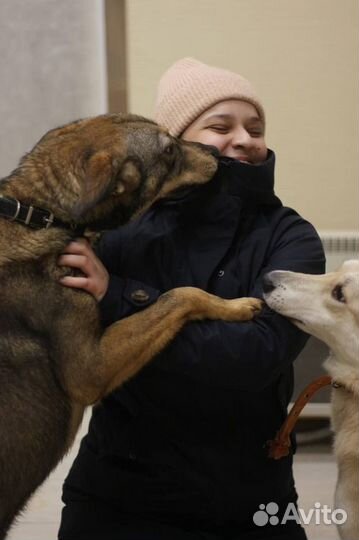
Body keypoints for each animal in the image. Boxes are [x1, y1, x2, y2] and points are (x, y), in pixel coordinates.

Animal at [0, 113, 262, 536]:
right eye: (169, 150)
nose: (213, 151)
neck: (41, 213)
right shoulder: (90, 371)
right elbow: (182, 294)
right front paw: (235, 306)